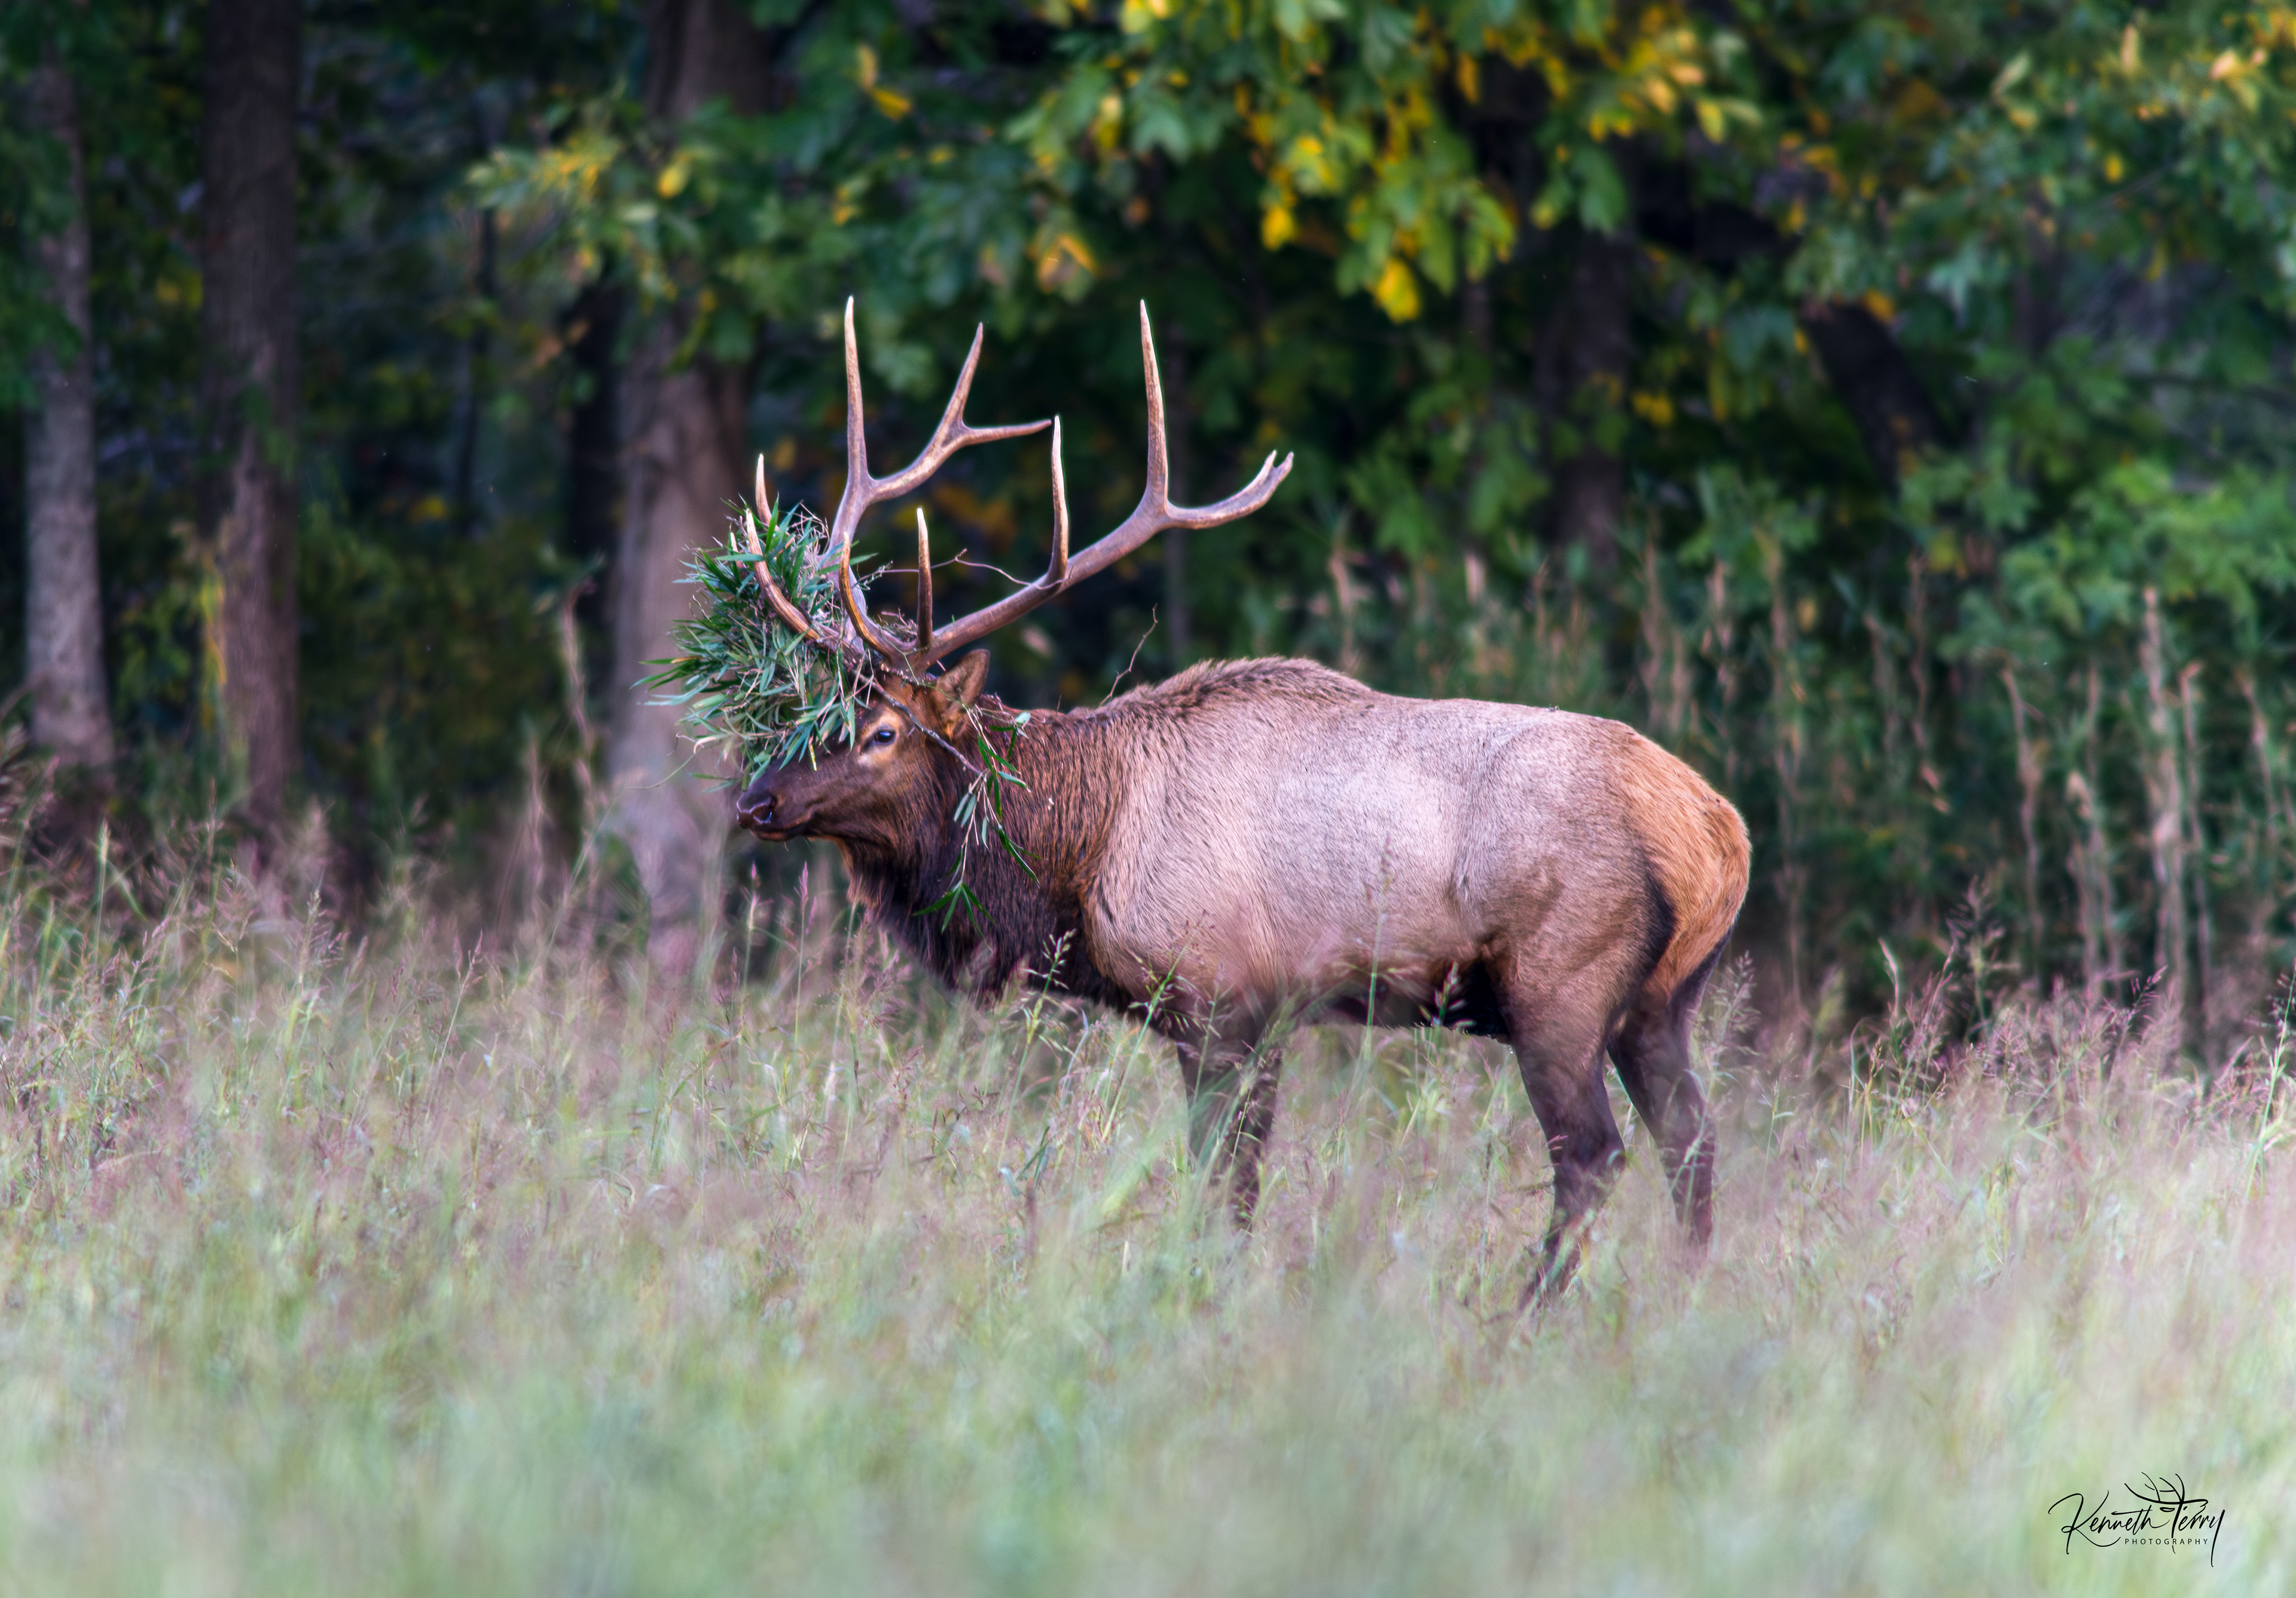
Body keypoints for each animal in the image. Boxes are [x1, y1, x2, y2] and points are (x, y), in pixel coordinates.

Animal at [733, 301, 1750, 1300]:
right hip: (1661, 999)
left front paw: (1208, 1294)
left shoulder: (1221, 994)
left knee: (1595, 1156)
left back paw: (1520, 1314)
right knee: (1692, 1142)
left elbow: (1227, 1181)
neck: (1080, 857)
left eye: (881, 731)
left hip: (1561, 980)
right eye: (811, 712)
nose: (757, 801)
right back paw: (1689, 1300)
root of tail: (1718, 835)